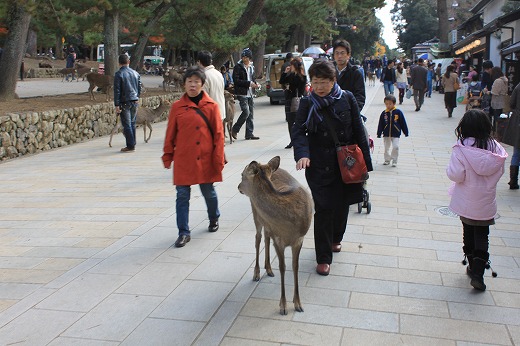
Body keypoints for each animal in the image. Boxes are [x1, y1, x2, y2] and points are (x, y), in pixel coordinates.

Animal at [239, 157, 312, 316]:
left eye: (242, 175)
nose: (238, 186)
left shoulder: (299, 239)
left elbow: (295, 267)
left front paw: (298, 304)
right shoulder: (279, 240)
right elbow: (283, 267)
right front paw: (283, 306)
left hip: (266, 223)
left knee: (266, 237)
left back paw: (269, 269)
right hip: (256, 214)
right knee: (258, 238)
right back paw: (257, 273)